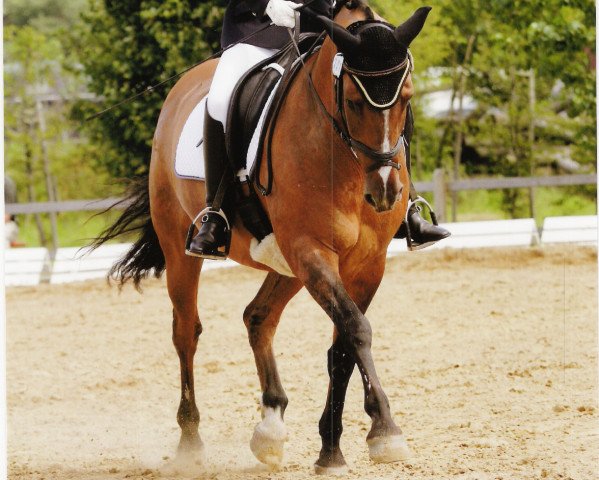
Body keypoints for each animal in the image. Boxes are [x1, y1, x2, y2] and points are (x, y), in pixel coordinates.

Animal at [98, 1, 434, 474]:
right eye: (352, 102)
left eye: (406, 99)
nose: (385, 191)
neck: (340, 157)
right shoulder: (310, 250)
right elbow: (355, 329)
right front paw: (385, 430)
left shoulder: (367, 262)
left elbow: (343, 347)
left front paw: (331, 449)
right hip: (184, 248)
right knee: (186, 332)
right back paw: (191, 442)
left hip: (287, 264)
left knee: (258, 317)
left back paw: (270, 429)